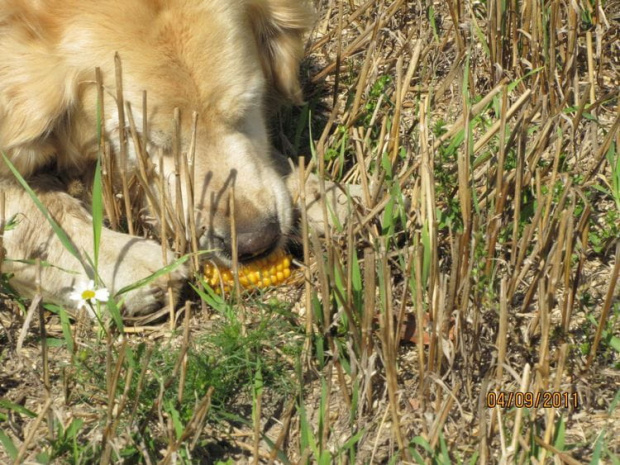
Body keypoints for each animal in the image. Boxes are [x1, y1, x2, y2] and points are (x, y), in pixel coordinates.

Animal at [0, 0, 310, 316]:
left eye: (249, 104)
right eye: (140, 138)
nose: (255, 241)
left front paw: (315, 192)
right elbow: (34, 206)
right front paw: (124, 257)